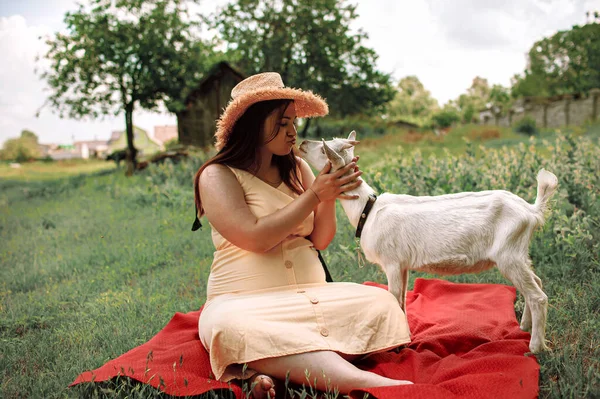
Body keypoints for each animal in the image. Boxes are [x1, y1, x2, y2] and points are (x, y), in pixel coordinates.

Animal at [300, 131, 556, 354]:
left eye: (324, 150)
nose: (302, 143)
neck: (367, 210)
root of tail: (531, 211)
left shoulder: (392, 262)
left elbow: (394, 299)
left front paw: (396, 348)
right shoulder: (402, 265)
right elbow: (402, 301)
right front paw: (404, 340)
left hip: (508, 254)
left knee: (538, 296)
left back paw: (535, 348)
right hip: (519, 252)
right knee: (537, 282)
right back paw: (524, 327)